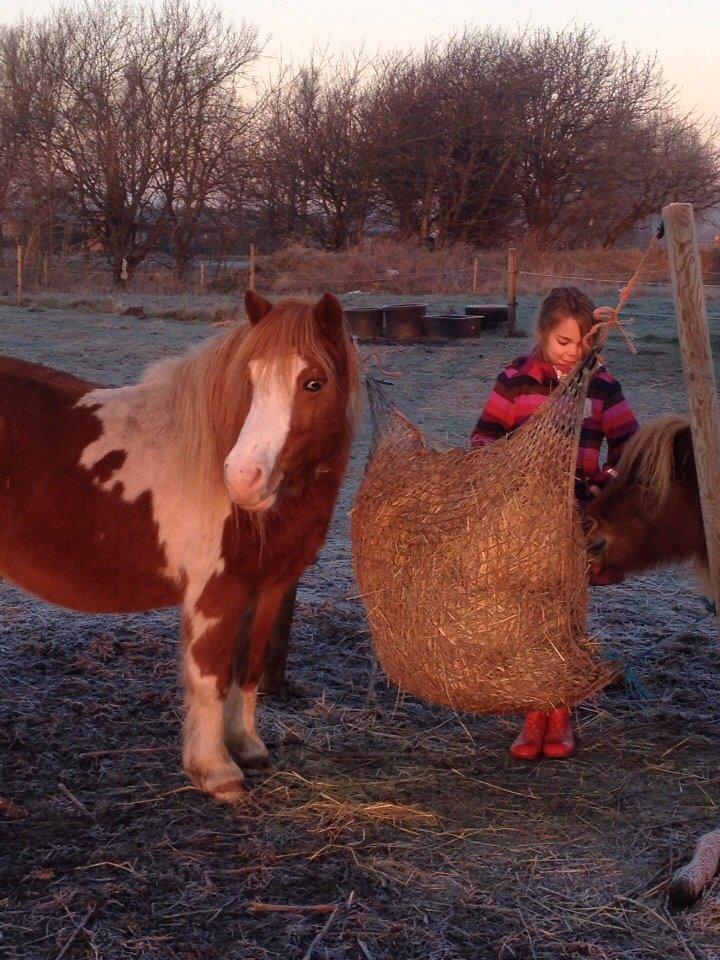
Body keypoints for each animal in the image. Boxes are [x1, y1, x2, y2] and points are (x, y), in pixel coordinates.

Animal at [0, 290, 360, 804]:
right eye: (249, 379)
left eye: (314, 383)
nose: (242, 478)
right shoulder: (216, 593)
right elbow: (210, 675)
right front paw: (216, 772)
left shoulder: (268, 588)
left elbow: (247, 668)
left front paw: (247, 747)